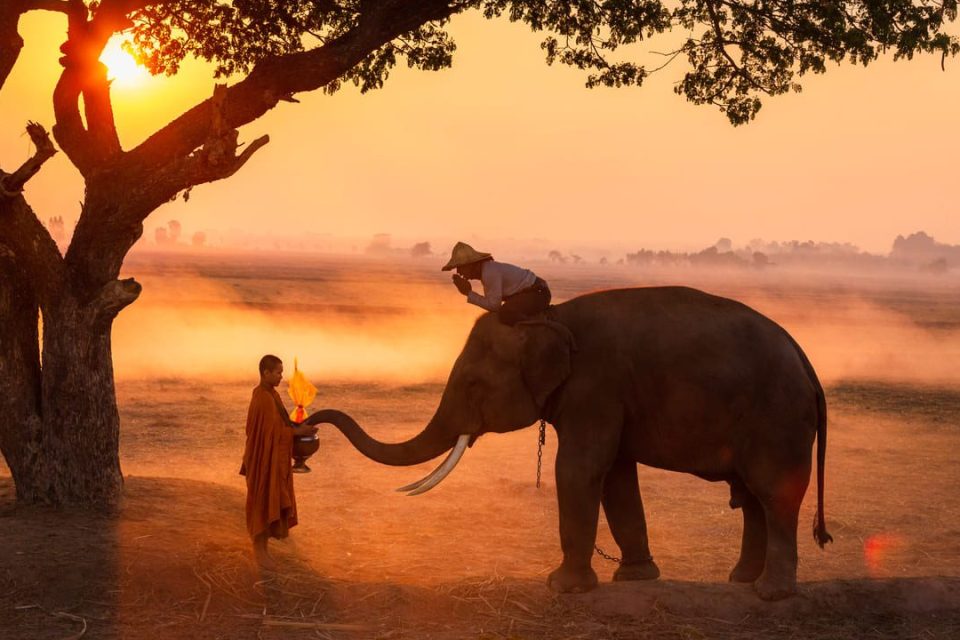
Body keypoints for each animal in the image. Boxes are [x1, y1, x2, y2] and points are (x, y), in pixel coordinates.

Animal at [306, 286, 832, 600]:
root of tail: (806, 360)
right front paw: (633, 578)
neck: (548, 317)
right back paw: (741, 582)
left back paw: (769, 594)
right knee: (752, 499)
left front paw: (562, 587)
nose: (310, 419)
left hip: (777, 418)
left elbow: (579, 470)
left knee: (772, 494)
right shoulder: (609, 398)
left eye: (474, 386)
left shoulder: (594, 386)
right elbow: (615, 476)